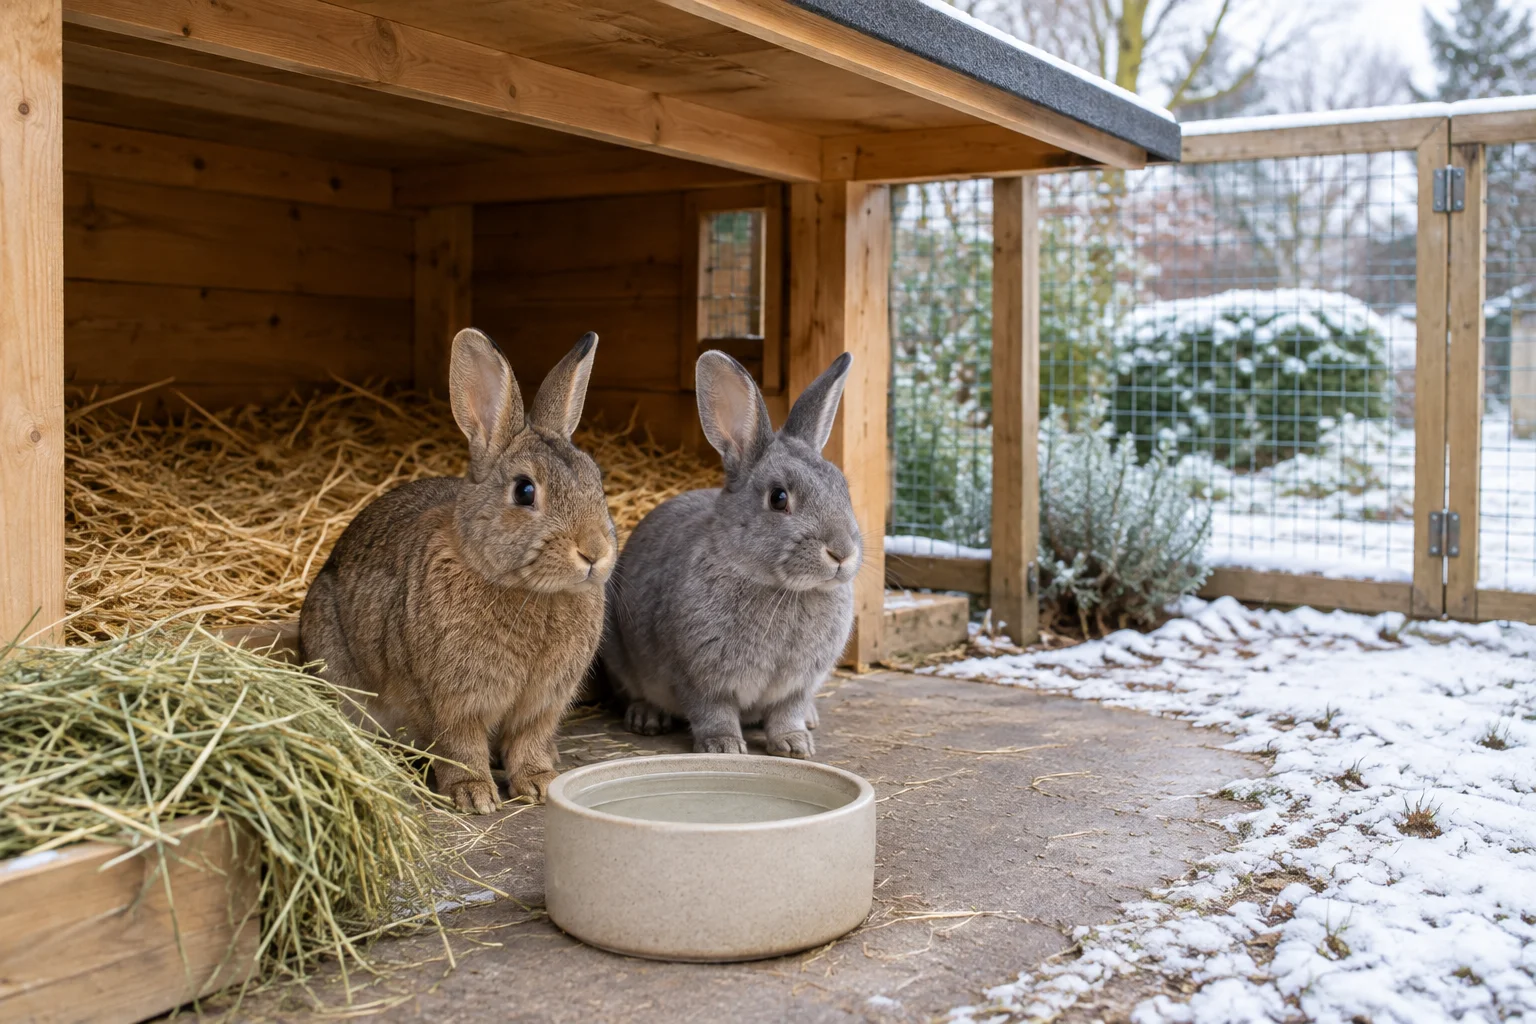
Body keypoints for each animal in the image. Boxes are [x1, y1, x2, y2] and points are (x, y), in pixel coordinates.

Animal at [299, 328, 615, 814]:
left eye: (596, 480)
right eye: (525, 491)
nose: (594, 552)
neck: (526, 590)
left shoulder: (542, 704)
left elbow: (528, 740)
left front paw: (540, 784)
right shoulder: (450, 701)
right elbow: (459, 746)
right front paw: (473, 795)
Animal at [601, 350, 861, 758]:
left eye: (842, 488)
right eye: (779, 498)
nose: (842, 552)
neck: (781, 589)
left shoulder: (797, 685)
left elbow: (786, 711)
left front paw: (795, 744)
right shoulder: (699, 677)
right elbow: (713, 711)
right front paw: (723, 747)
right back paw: (646, 718)